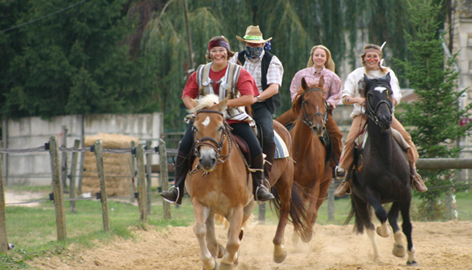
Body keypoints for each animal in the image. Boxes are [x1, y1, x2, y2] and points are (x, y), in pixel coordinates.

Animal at [184, 95, 310, 270]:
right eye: (195, 128)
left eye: (220, 128)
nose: (207, 159)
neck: (218, 174)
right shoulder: (201, 203)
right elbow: (202, 231)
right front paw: (210, 261)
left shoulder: (237, 207)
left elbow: (232, 241)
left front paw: (227, 262)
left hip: (284, 183)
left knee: (284, 209)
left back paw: (278, 250)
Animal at [276, 76, 332, 243]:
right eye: (306, 101)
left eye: (324, 100)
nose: (319, 127)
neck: (302, 149)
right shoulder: (294, 185)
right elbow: (296, 210)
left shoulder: (315, 184)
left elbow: (311, 212)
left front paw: (307, 234)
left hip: (324, 186)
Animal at [344, 74, 418, 266]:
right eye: (370, 95)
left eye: (389, 92)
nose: (385, 119)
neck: (386, 158)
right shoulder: (370, 192)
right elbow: (381, 214)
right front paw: (385, 233)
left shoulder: (405, 191)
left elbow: (405, 224)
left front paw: (410, 256)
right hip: (359, 200)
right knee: (370, 226)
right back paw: (377, 256)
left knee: (392, 218)